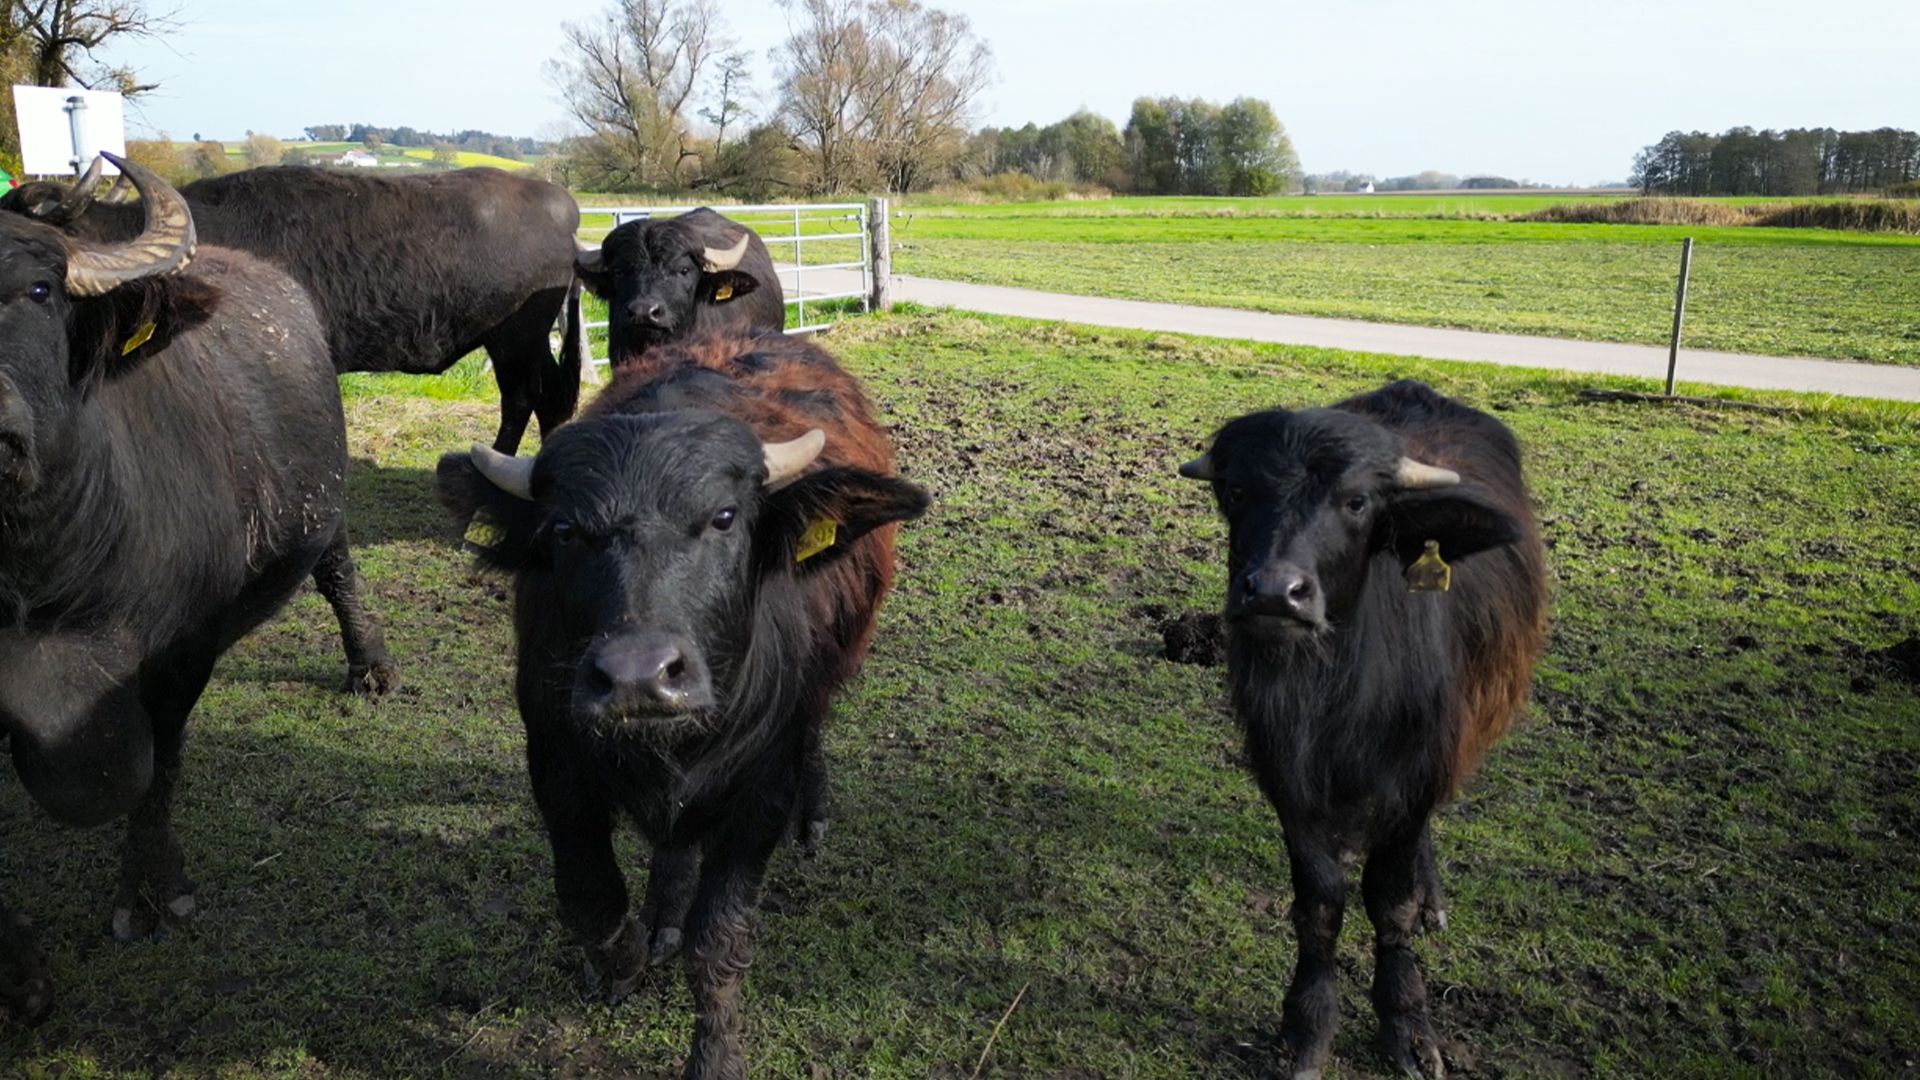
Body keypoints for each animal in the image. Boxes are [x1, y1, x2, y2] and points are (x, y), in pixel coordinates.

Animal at [0, 155, 366, 1022]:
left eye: (39, 290)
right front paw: (18, 973)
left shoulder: (181, 652)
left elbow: (156, 764)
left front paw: (151, 895)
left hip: (326, 509)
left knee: (339, 572)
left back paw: (371, 668)